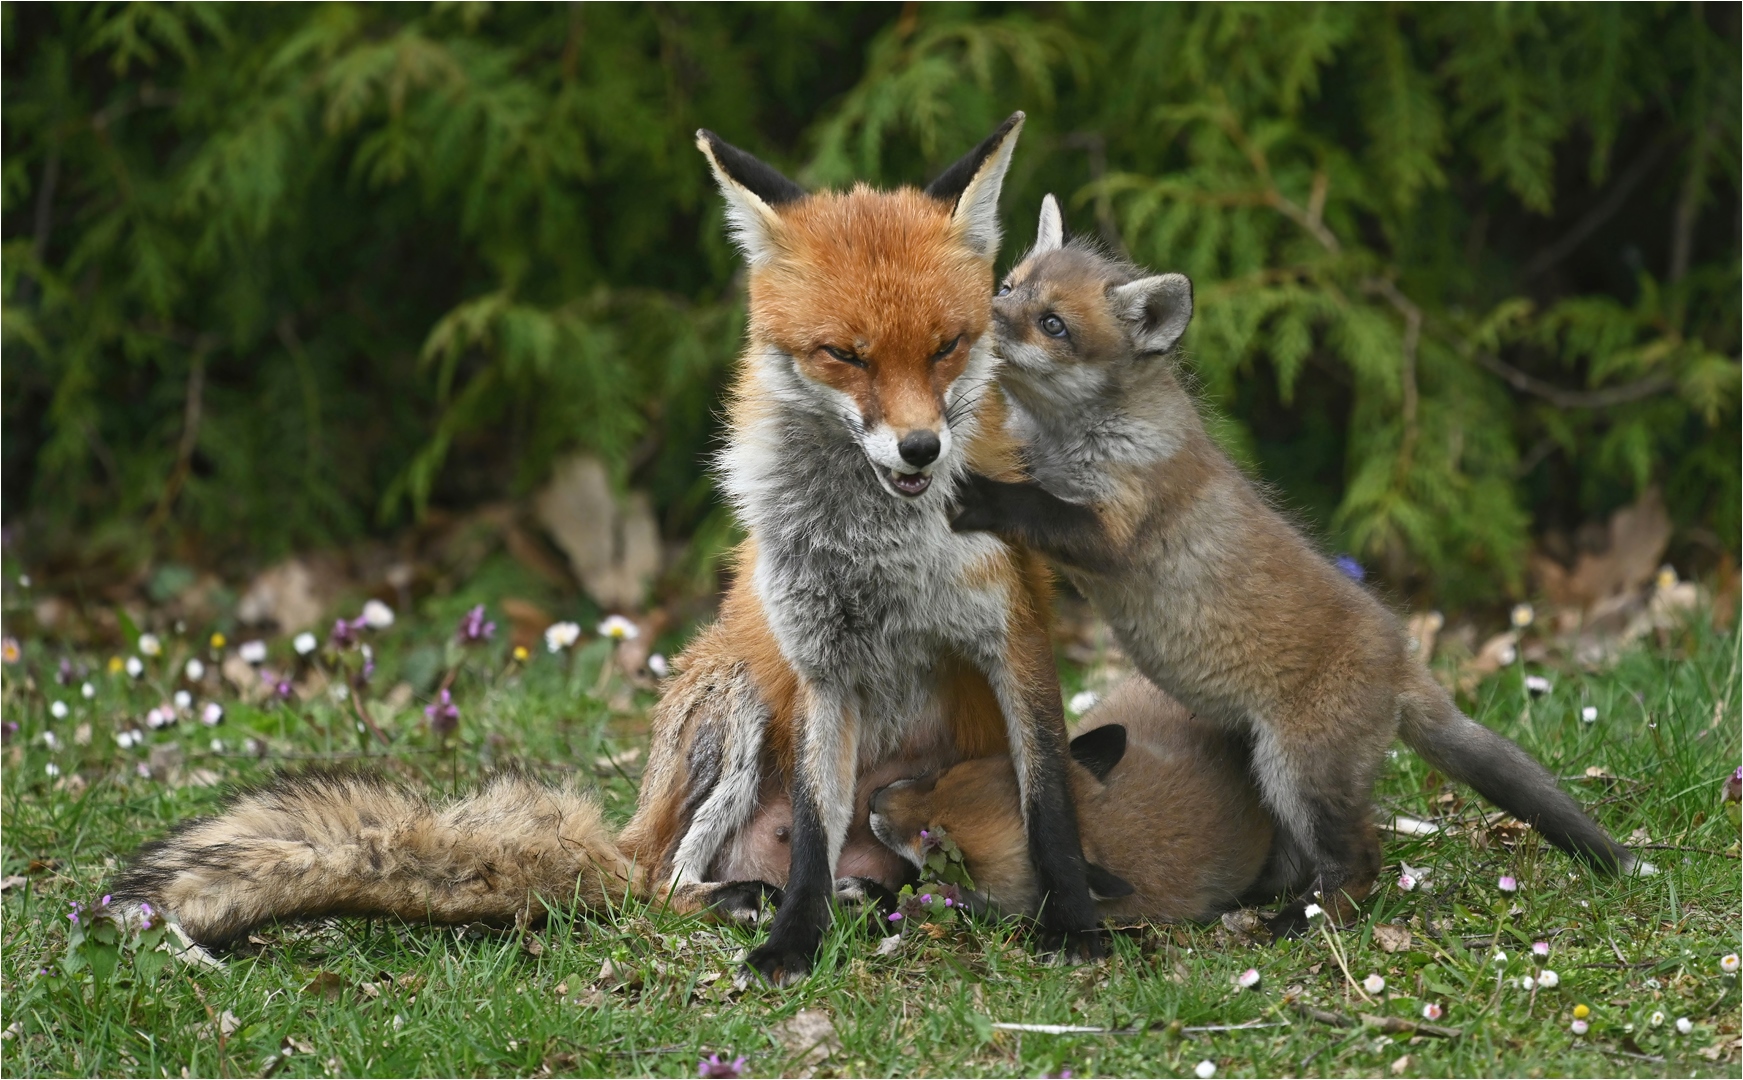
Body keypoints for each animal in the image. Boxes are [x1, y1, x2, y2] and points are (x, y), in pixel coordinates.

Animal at [948, 191, 1638, 926]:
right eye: (1009, 286)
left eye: (1052, 324)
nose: (978, 314)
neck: (1073, 439)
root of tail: (1403, 657)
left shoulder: (1115, 530)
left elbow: (1033, 508)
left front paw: (978, 494)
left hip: (1297, 770)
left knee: (1360, 863)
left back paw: (1296, 925)